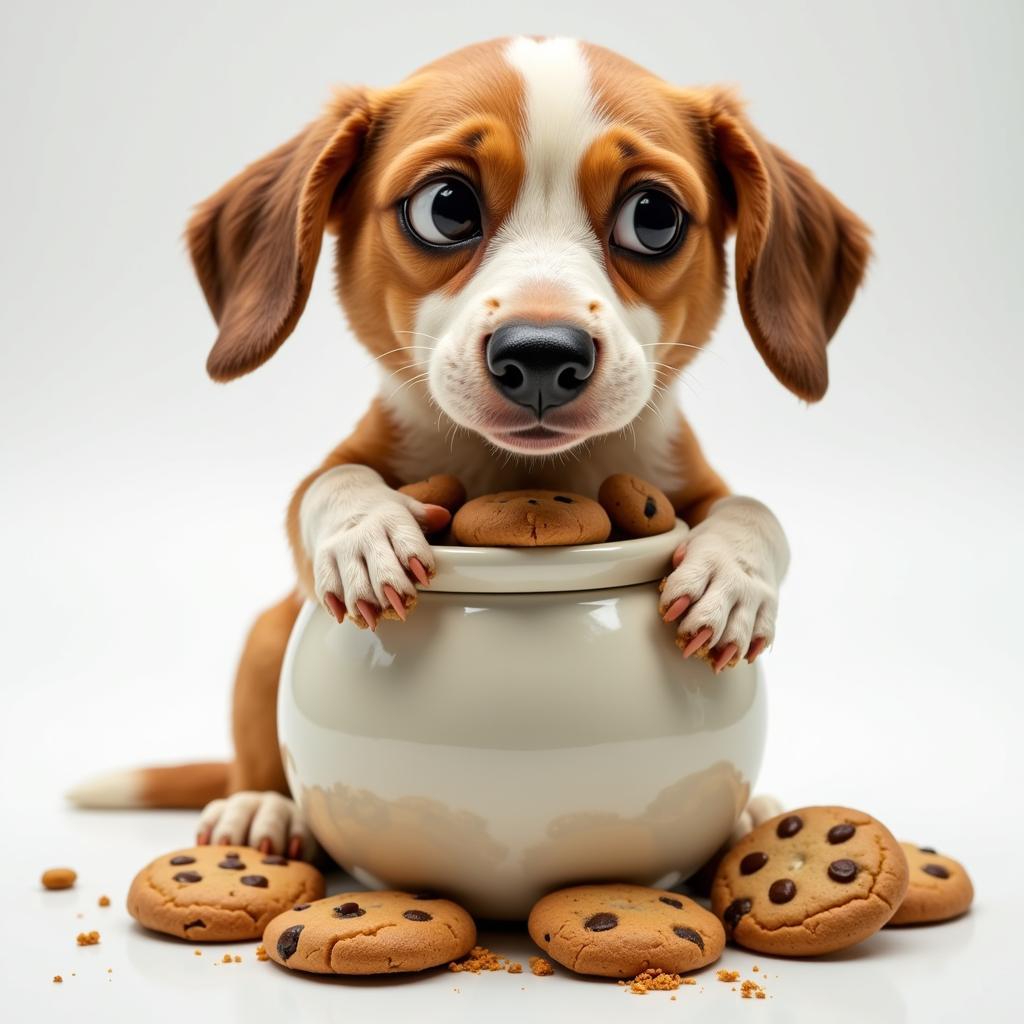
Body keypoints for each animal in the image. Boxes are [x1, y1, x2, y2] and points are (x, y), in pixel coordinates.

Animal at [68, 37, 868, 856]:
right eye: (445, 208)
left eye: (653, 216)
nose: (543, 355)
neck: (523, 466)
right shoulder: (338, 469)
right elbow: (326, 486)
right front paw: (366, 535)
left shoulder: (681, 476)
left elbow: (754, 509)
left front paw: (730, 577)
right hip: (266, 638)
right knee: (256, 753)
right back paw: (261, 807)